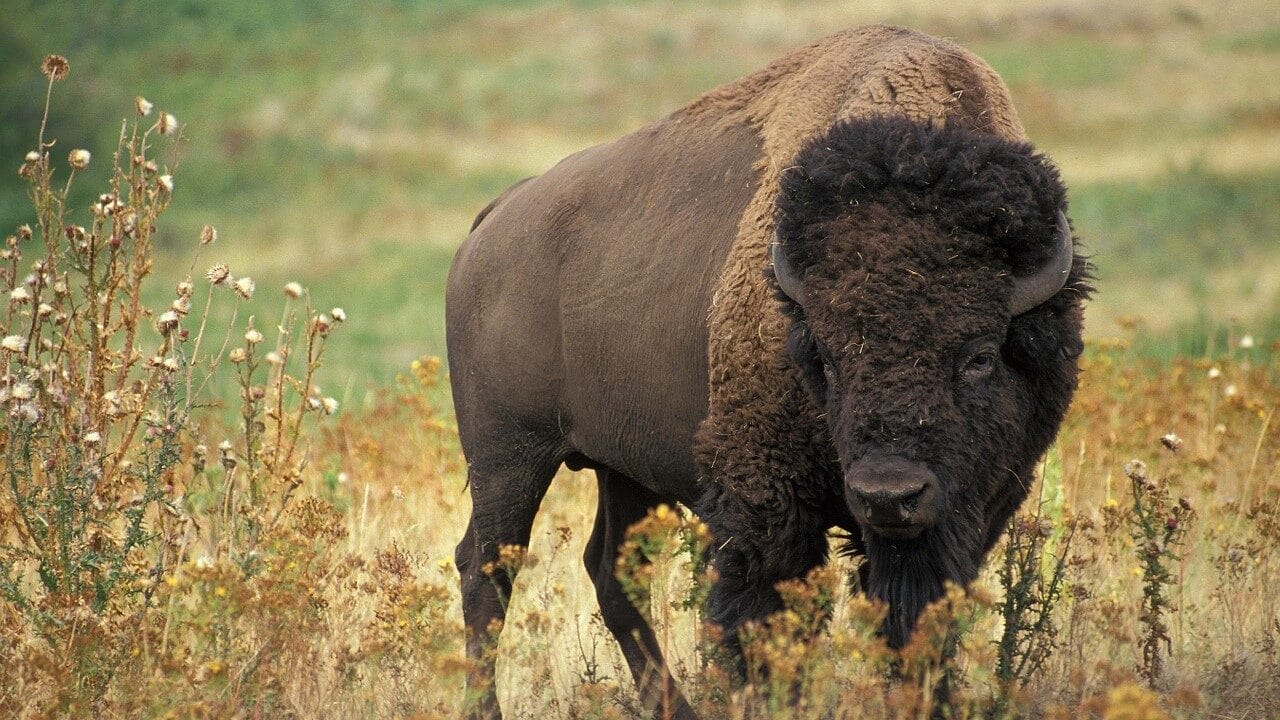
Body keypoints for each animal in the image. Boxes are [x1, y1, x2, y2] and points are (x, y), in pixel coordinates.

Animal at [446, 24, 1089, 720]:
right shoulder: (766, 501)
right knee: (487, 570)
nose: (887, 494)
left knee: (609, 570)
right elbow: (763, 617)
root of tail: (494, 220)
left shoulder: (968, 512)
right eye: (826, 357)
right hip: (508, 456)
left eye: (979, 356)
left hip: (623, 468)